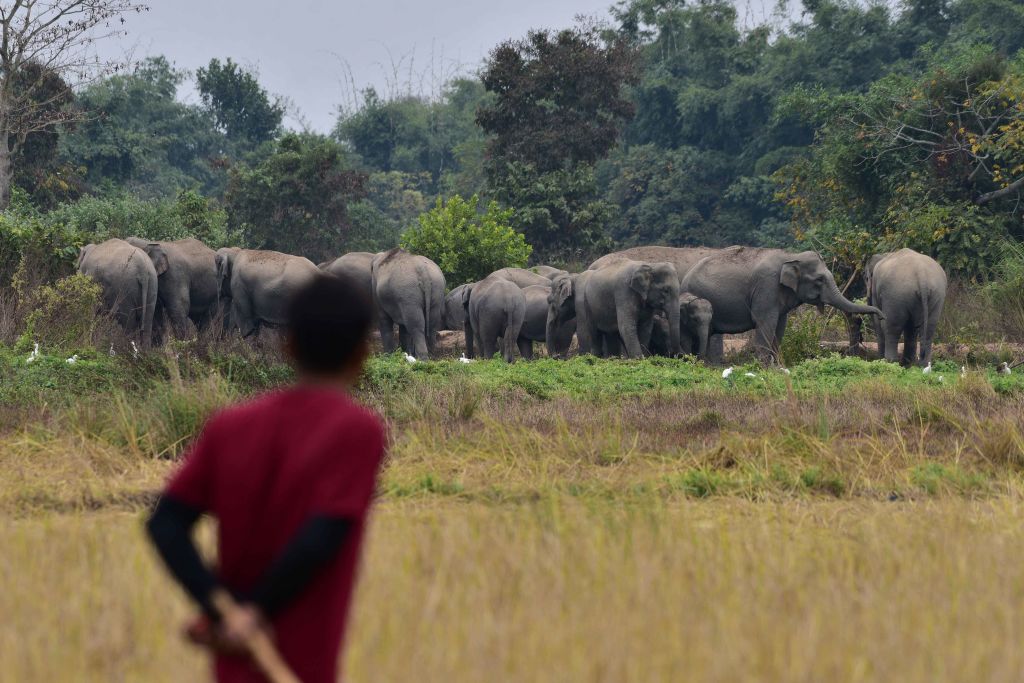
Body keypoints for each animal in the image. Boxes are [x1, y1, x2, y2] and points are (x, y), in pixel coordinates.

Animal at [679, 246, 880, 362]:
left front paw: (777, 366)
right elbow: (765, 323)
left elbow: (780, 326)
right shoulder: (767, 287)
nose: (881, 314)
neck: (791, 256)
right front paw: (763, 368)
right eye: (819, 279)